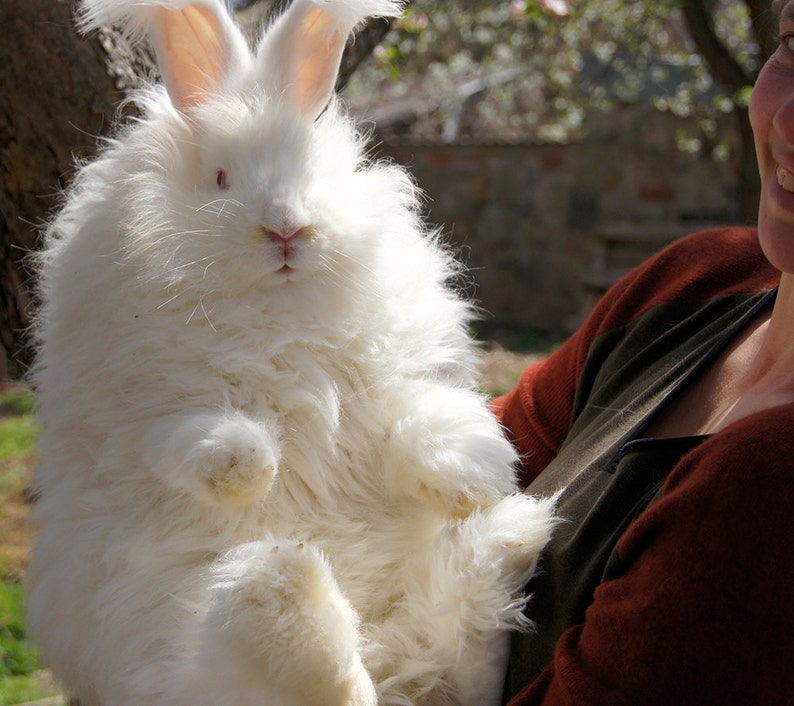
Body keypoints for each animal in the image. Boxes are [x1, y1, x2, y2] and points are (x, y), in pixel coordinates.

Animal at [26, 1, 557, 705]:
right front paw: (247, 470)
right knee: (302, 653)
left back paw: (508, 533)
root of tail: (399, 674)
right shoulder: (145, 411)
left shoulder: (403, 379)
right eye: (221, 179)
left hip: (433, 626)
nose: (286, 228)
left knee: (461, 644)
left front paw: (470, 479)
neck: (279, 312)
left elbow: (429, 419)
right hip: (198, 628)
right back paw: (307, 598)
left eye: (312, 173)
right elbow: (189, 438)